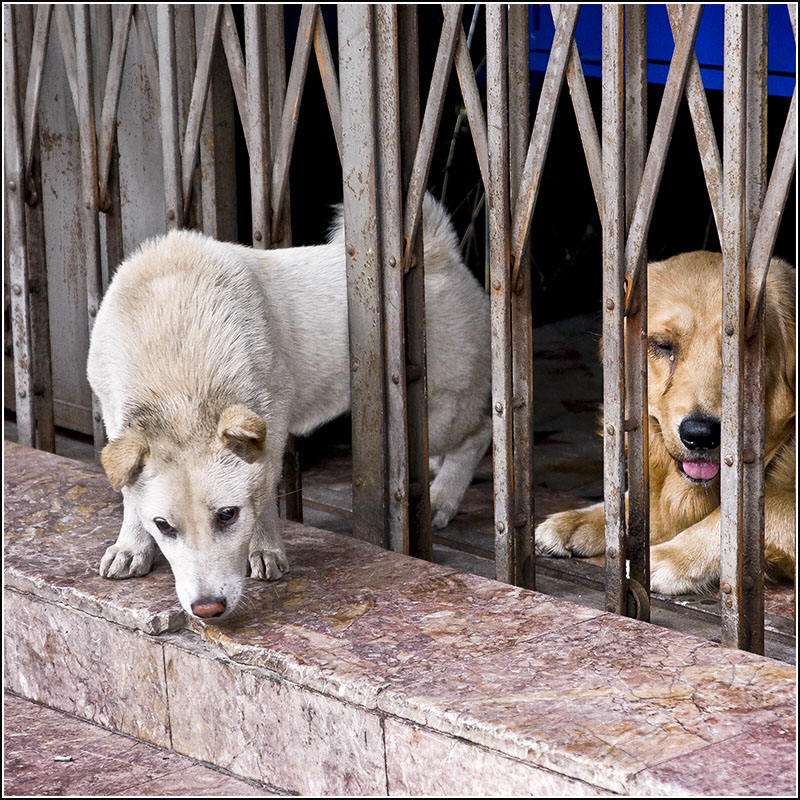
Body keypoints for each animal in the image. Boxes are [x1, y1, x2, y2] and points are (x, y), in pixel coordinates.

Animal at [86, 194, 488, 620]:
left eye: (228, 514)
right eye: (163, 525)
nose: (207, 609)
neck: (180, 381)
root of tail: (437, 252)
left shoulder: (271, 429)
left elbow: (263, 494)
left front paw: (264, 547)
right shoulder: (116, 424)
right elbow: (130, 495)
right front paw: (132, 546)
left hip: (435, 413)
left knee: (479, 434)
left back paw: (442, 497)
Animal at [536, 250, 792, 592]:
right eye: (662, 346)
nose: (700, 435)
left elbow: (760, 509)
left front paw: (672, 556)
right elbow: (641, 506)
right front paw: (583, 520)